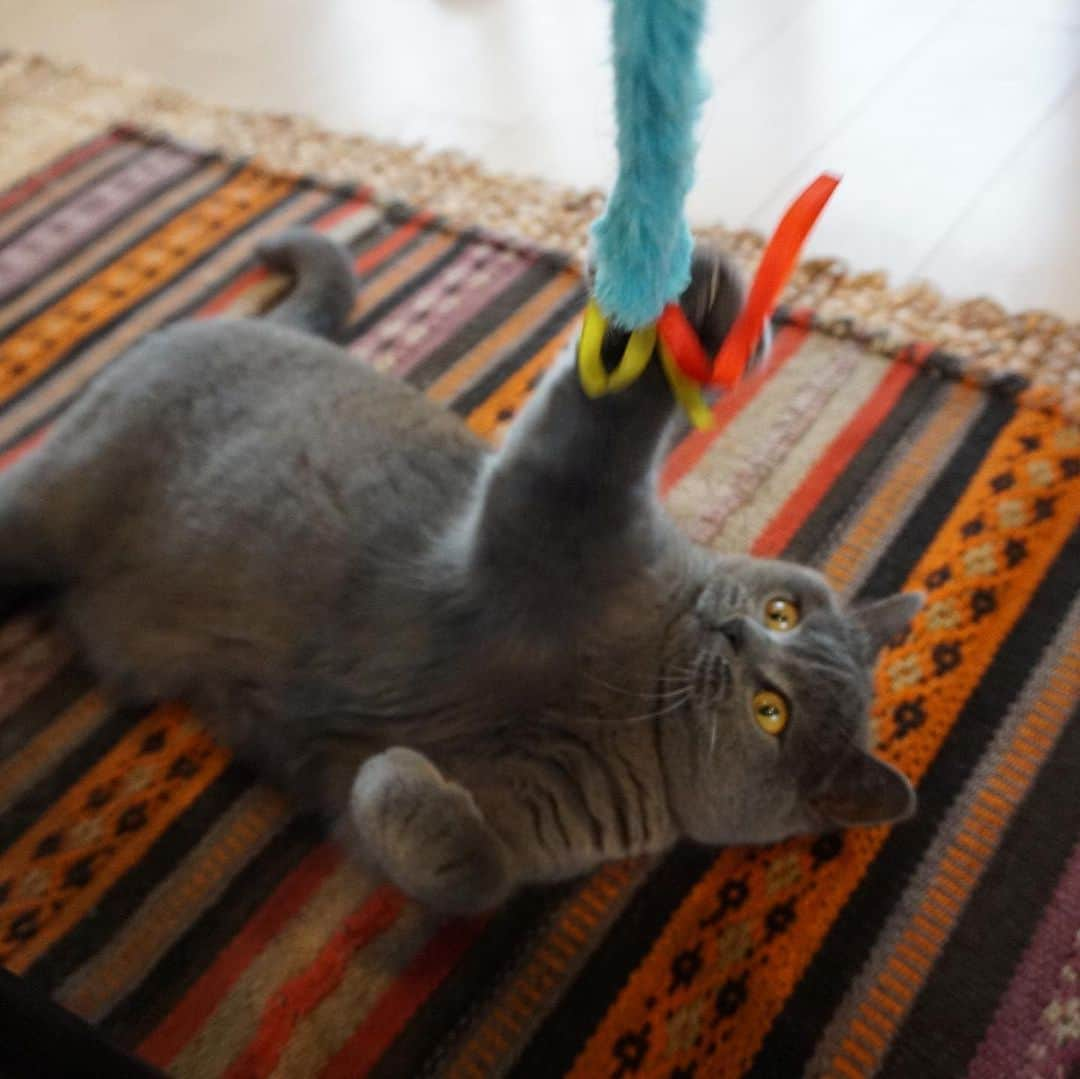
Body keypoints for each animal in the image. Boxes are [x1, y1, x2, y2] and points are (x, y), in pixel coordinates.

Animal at [0, 227, 920, 911]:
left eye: (773, 712)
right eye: (781, 610)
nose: (733, 632)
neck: (624, 700)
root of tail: (267, 325)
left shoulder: (528, 828)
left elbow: (473, 874)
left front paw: (397, 786)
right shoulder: (557, 517)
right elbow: (601, 424)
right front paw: (700, 310)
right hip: (53, 498)